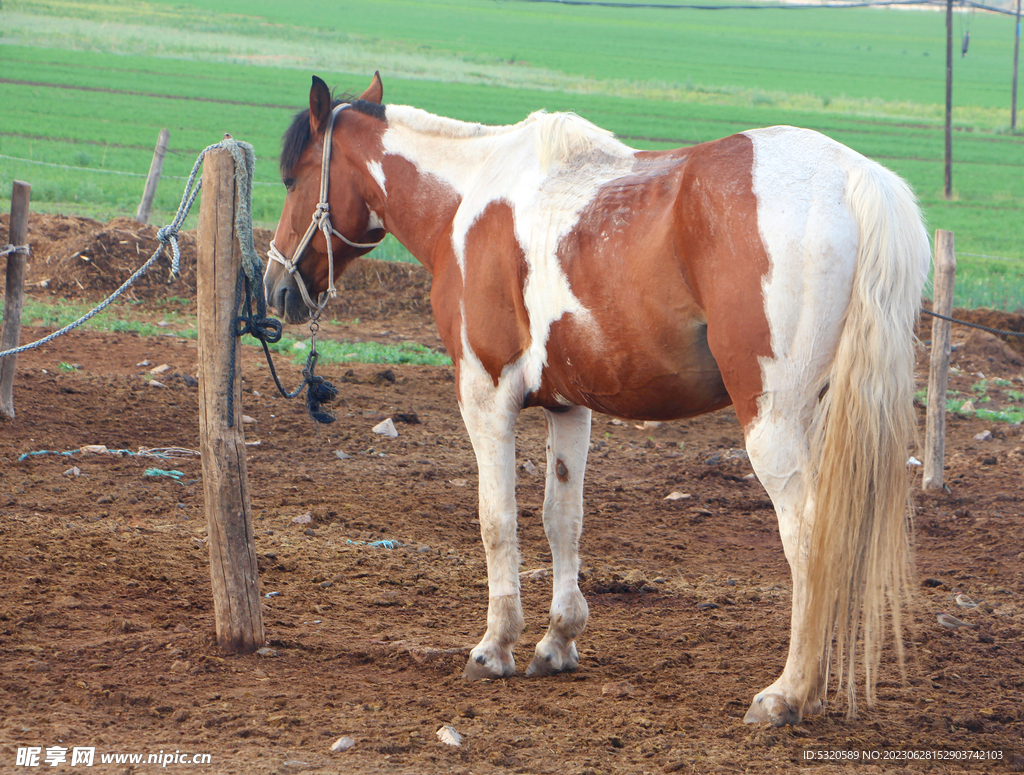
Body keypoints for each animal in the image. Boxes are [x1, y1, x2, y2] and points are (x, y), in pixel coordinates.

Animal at [268, 75, 933, 720]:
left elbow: (496, 519)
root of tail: (852, 178)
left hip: (773, 423)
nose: (275, 288)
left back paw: (789, 693)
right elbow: (563, 518)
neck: (469, 201)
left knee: (811, 538)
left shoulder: (485, 398)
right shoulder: (570, 406)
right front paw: (557, 642)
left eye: (293, 177)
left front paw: (495, 647)